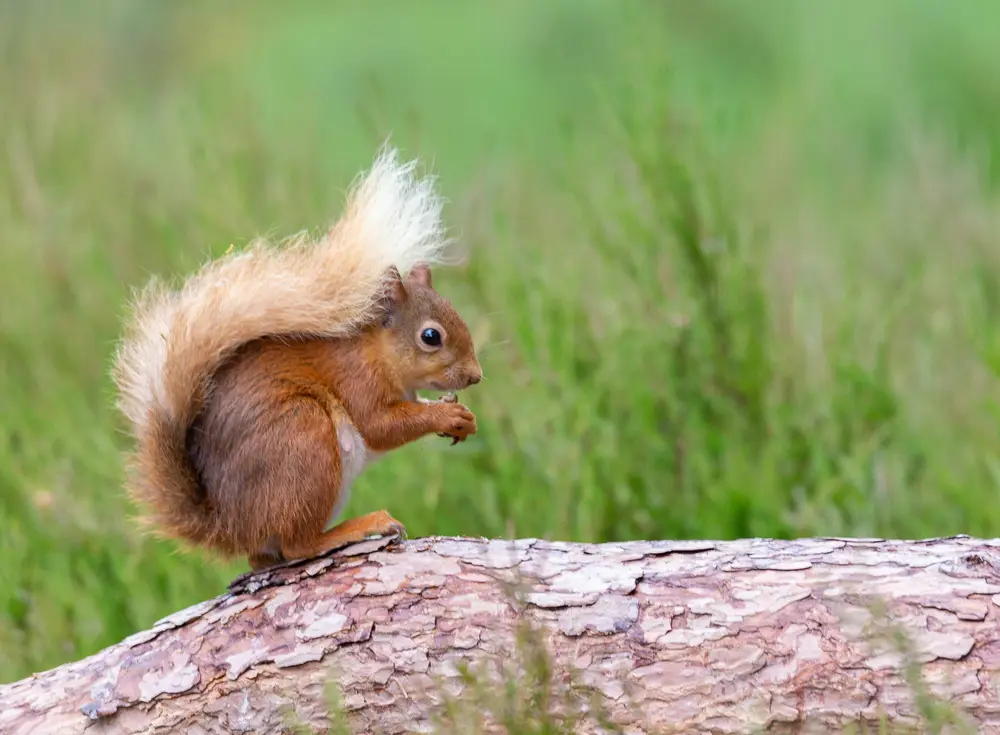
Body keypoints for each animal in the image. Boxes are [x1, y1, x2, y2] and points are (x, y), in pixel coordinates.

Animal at [111, 147, 482, 572]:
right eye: (431, 337)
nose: (476, 376)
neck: (378, 352)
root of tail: (229, 524)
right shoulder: (357, 377)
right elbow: (380, 425)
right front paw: (446, 415)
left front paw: (462, 419)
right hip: (304, 438)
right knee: (296, 546)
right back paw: (359, 527)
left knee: (265, 556)